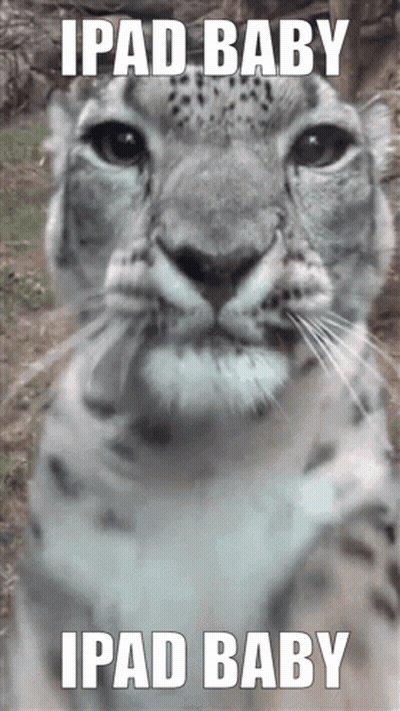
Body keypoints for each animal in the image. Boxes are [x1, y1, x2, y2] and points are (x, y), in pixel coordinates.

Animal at [8, 65, 400, 711]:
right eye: (119, 143)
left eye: (319, 146)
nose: (218, 259)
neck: (204, 461)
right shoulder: (52, 583)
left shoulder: (371, 493)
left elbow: (355, 553)